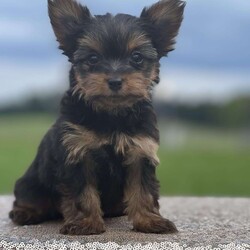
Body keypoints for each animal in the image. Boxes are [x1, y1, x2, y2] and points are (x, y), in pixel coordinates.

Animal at [9, 0, 185, 234]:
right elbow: (83, 193)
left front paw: (149, 221)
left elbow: (143, 189)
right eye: (93, 58)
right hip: (31, 183)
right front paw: (86, 223)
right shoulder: (78, 153)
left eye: (137, 57)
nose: (115, 81)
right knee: (30, 198)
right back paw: (25, 212)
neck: (112, 115)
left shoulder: (140, 151)